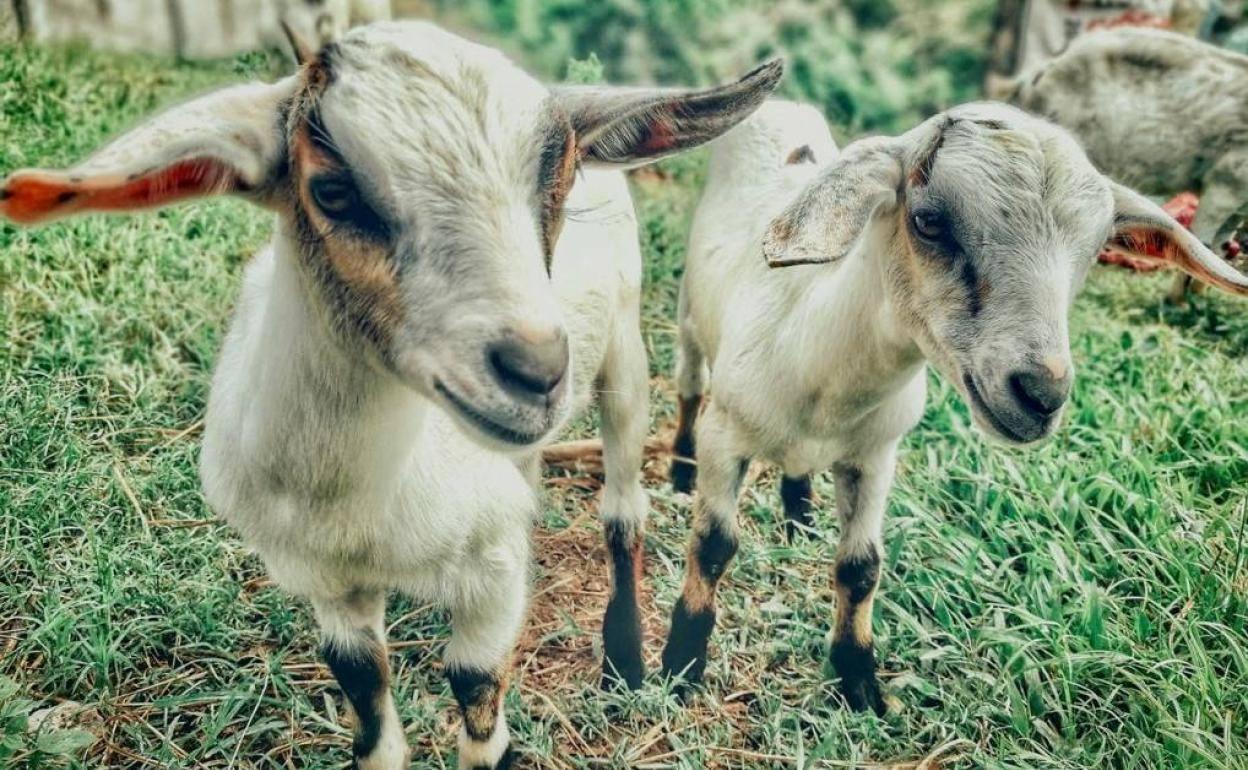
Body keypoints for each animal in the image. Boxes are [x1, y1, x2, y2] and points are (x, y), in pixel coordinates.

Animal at [2, 21, 778, 763]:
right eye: (333, 191)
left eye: (555, 183)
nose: (535, 372)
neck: (357, 501)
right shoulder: (325, 582)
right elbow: (368, 710)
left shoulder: (490, 578)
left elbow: (476, 693)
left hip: (623, 354)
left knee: (622, 508)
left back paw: (626, 657)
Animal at [658, 99, 1243, 713]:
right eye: (929, 221)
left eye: (1092, 253)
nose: (1041, 394)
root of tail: (781, 104)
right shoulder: (727, 437)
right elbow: (714, 546)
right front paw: (682, 663)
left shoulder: (875, 455)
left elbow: (861, 567)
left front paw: (859, 681)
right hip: (691, 320)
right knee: (689, 386)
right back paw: (680, 470)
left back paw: (800, 513)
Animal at [1013, 27, 1248, 303]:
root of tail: (1042, 71)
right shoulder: (1224, 184)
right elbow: (1204, 243)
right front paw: (1176, 303)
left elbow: (1221, 249)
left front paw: (1199, 300)